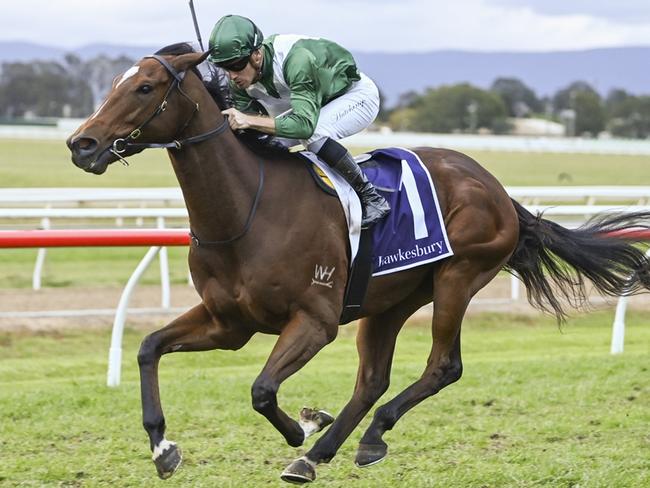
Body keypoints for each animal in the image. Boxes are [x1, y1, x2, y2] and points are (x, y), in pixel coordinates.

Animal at [67, 46, 648, 484]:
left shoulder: (315, 320)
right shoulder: (228, 322)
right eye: (115, 82)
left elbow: (262, 390)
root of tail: (498, 190)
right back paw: (322, 453)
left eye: (144, 88)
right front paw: (163, 447)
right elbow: (148, 347)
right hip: (389, 299)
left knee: (443, 366)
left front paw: (302, 426)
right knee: (372, 379)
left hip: (458, 277)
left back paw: (356, 438)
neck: (247, 207)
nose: (81, 143)